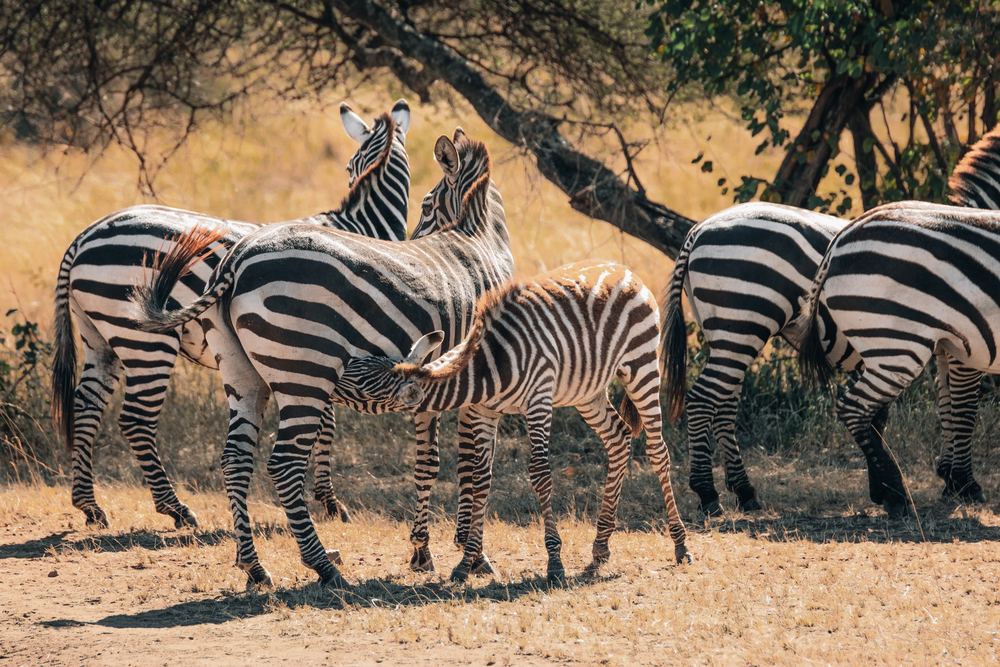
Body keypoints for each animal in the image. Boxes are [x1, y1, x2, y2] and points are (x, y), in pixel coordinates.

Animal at [51, 100, 412, 529]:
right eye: (348, 167)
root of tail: (84, 235)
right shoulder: (321, 347)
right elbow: (327, 424)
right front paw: (330, 501)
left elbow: (323, 421)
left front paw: (324, 498)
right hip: (147, 341)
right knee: (135, 420)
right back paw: (176, 509)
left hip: (99, 336)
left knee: (86, 405)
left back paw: (89, 504)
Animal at [132, 131, 514, 589]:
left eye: (423, 207)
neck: (480, 241)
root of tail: (237, 258)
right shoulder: (483, 386)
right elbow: (478, 468)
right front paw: (475, 557)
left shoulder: (433, 387)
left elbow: (430, 462)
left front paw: (425, 550)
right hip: (304, 374)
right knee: (283, 464)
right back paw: (323, 565)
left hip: (242, 374)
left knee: (235, 460)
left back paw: (254, 567)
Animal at [336, 261, 691, 584]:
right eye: (359, 365)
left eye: (362, 386)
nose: (329, 381)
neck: (485, 367)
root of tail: (623, 269)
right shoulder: (484, 412)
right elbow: (480, 478)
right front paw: (466, 562)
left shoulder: (538, 399)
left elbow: (540, 474)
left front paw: (554, 561)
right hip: (587, 392)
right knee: (618, 439)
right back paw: (600, 548)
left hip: (642, 365)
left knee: (658, 451)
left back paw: (680, 544)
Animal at [799, 200, 1000, 517]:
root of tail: (841, 239)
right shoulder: (970, 344)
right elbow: (964, 410)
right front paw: (963, 485)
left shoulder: (949, 346)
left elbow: (950, 407)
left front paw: (953, 480)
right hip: (897, 344)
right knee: (855, 408)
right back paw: (896, 497)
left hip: (884, 347)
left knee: (871, 414)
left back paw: (883, 490)